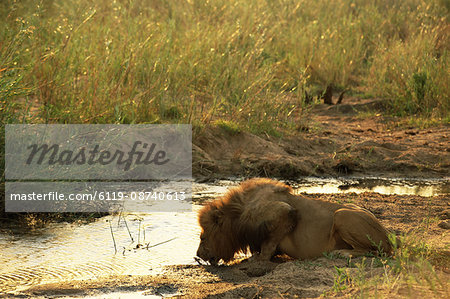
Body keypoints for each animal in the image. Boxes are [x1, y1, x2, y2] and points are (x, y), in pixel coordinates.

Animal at [196, 178, 390, 264]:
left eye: (203, 238)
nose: (197, 255)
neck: (238, 213)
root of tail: (388, 238)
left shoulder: (285, 211)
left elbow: (268, 245)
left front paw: (257, 260)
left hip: (341, 214)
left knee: (376, 251)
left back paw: (342, 253)